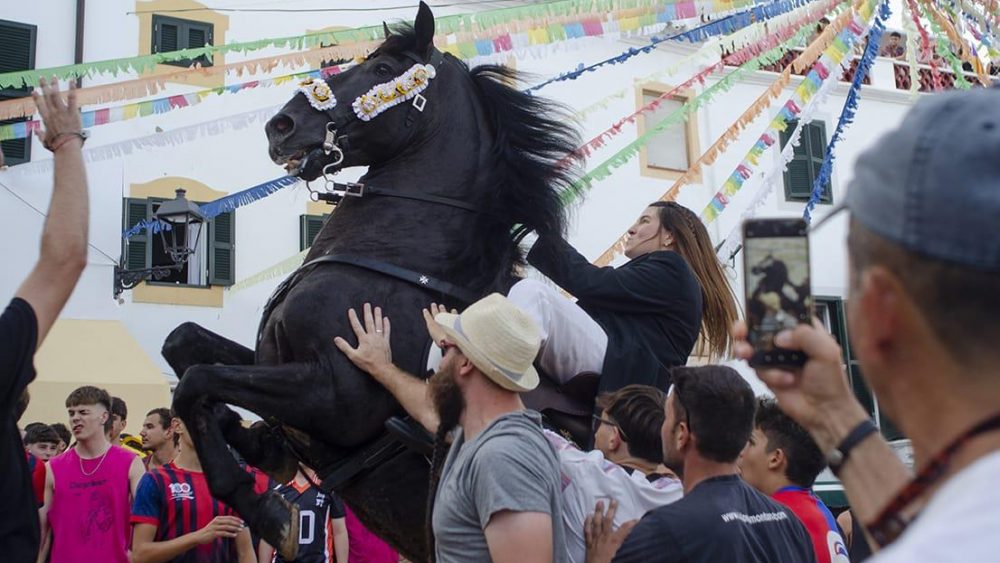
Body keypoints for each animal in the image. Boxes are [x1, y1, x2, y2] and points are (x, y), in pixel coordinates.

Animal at [168, 3, 584, 560]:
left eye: (384, 70)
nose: (281, 125)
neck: (394, 263)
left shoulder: (335, 397)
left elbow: (197, 380)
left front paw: (264, 509)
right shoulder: (272, 361)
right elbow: (184, 344)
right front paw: (255, 440)